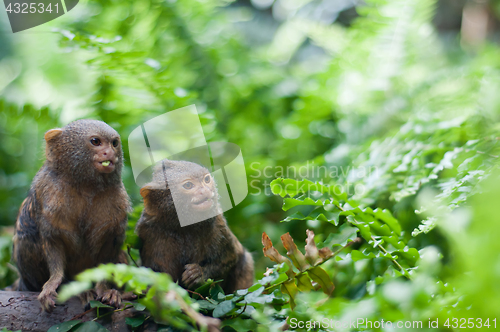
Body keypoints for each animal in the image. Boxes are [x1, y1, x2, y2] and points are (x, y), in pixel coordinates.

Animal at [13, 119, 131, 312]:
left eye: (114, 143)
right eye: (96, 142)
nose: (110, 153)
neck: (86, 186)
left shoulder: (118, 202)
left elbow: (109, 246)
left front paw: (105, 289)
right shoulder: (46, 193)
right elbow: (52, 241)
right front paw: (53, 284)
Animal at [136, 160, 254, 294]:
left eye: (206, 180)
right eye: (188, 185)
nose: (205, 190)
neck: (182, 228)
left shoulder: (218, 226)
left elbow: (229, 258)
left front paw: (198, 274)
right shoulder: (147, 231)